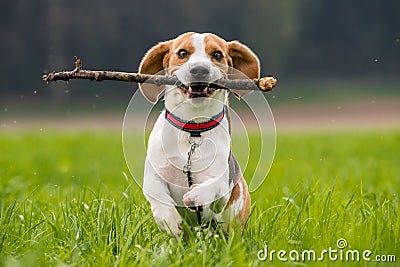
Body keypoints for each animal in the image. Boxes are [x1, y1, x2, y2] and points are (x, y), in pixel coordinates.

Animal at [139, 31, 260, 237]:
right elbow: (157, 194)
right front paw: (170, 221)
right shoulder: (153, 175)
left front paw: (195, 195)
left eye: (217, 54)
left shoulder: (222, 187)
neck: (192, 130)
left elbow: (214, 185)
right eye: (182, 53)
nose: (199, 70)